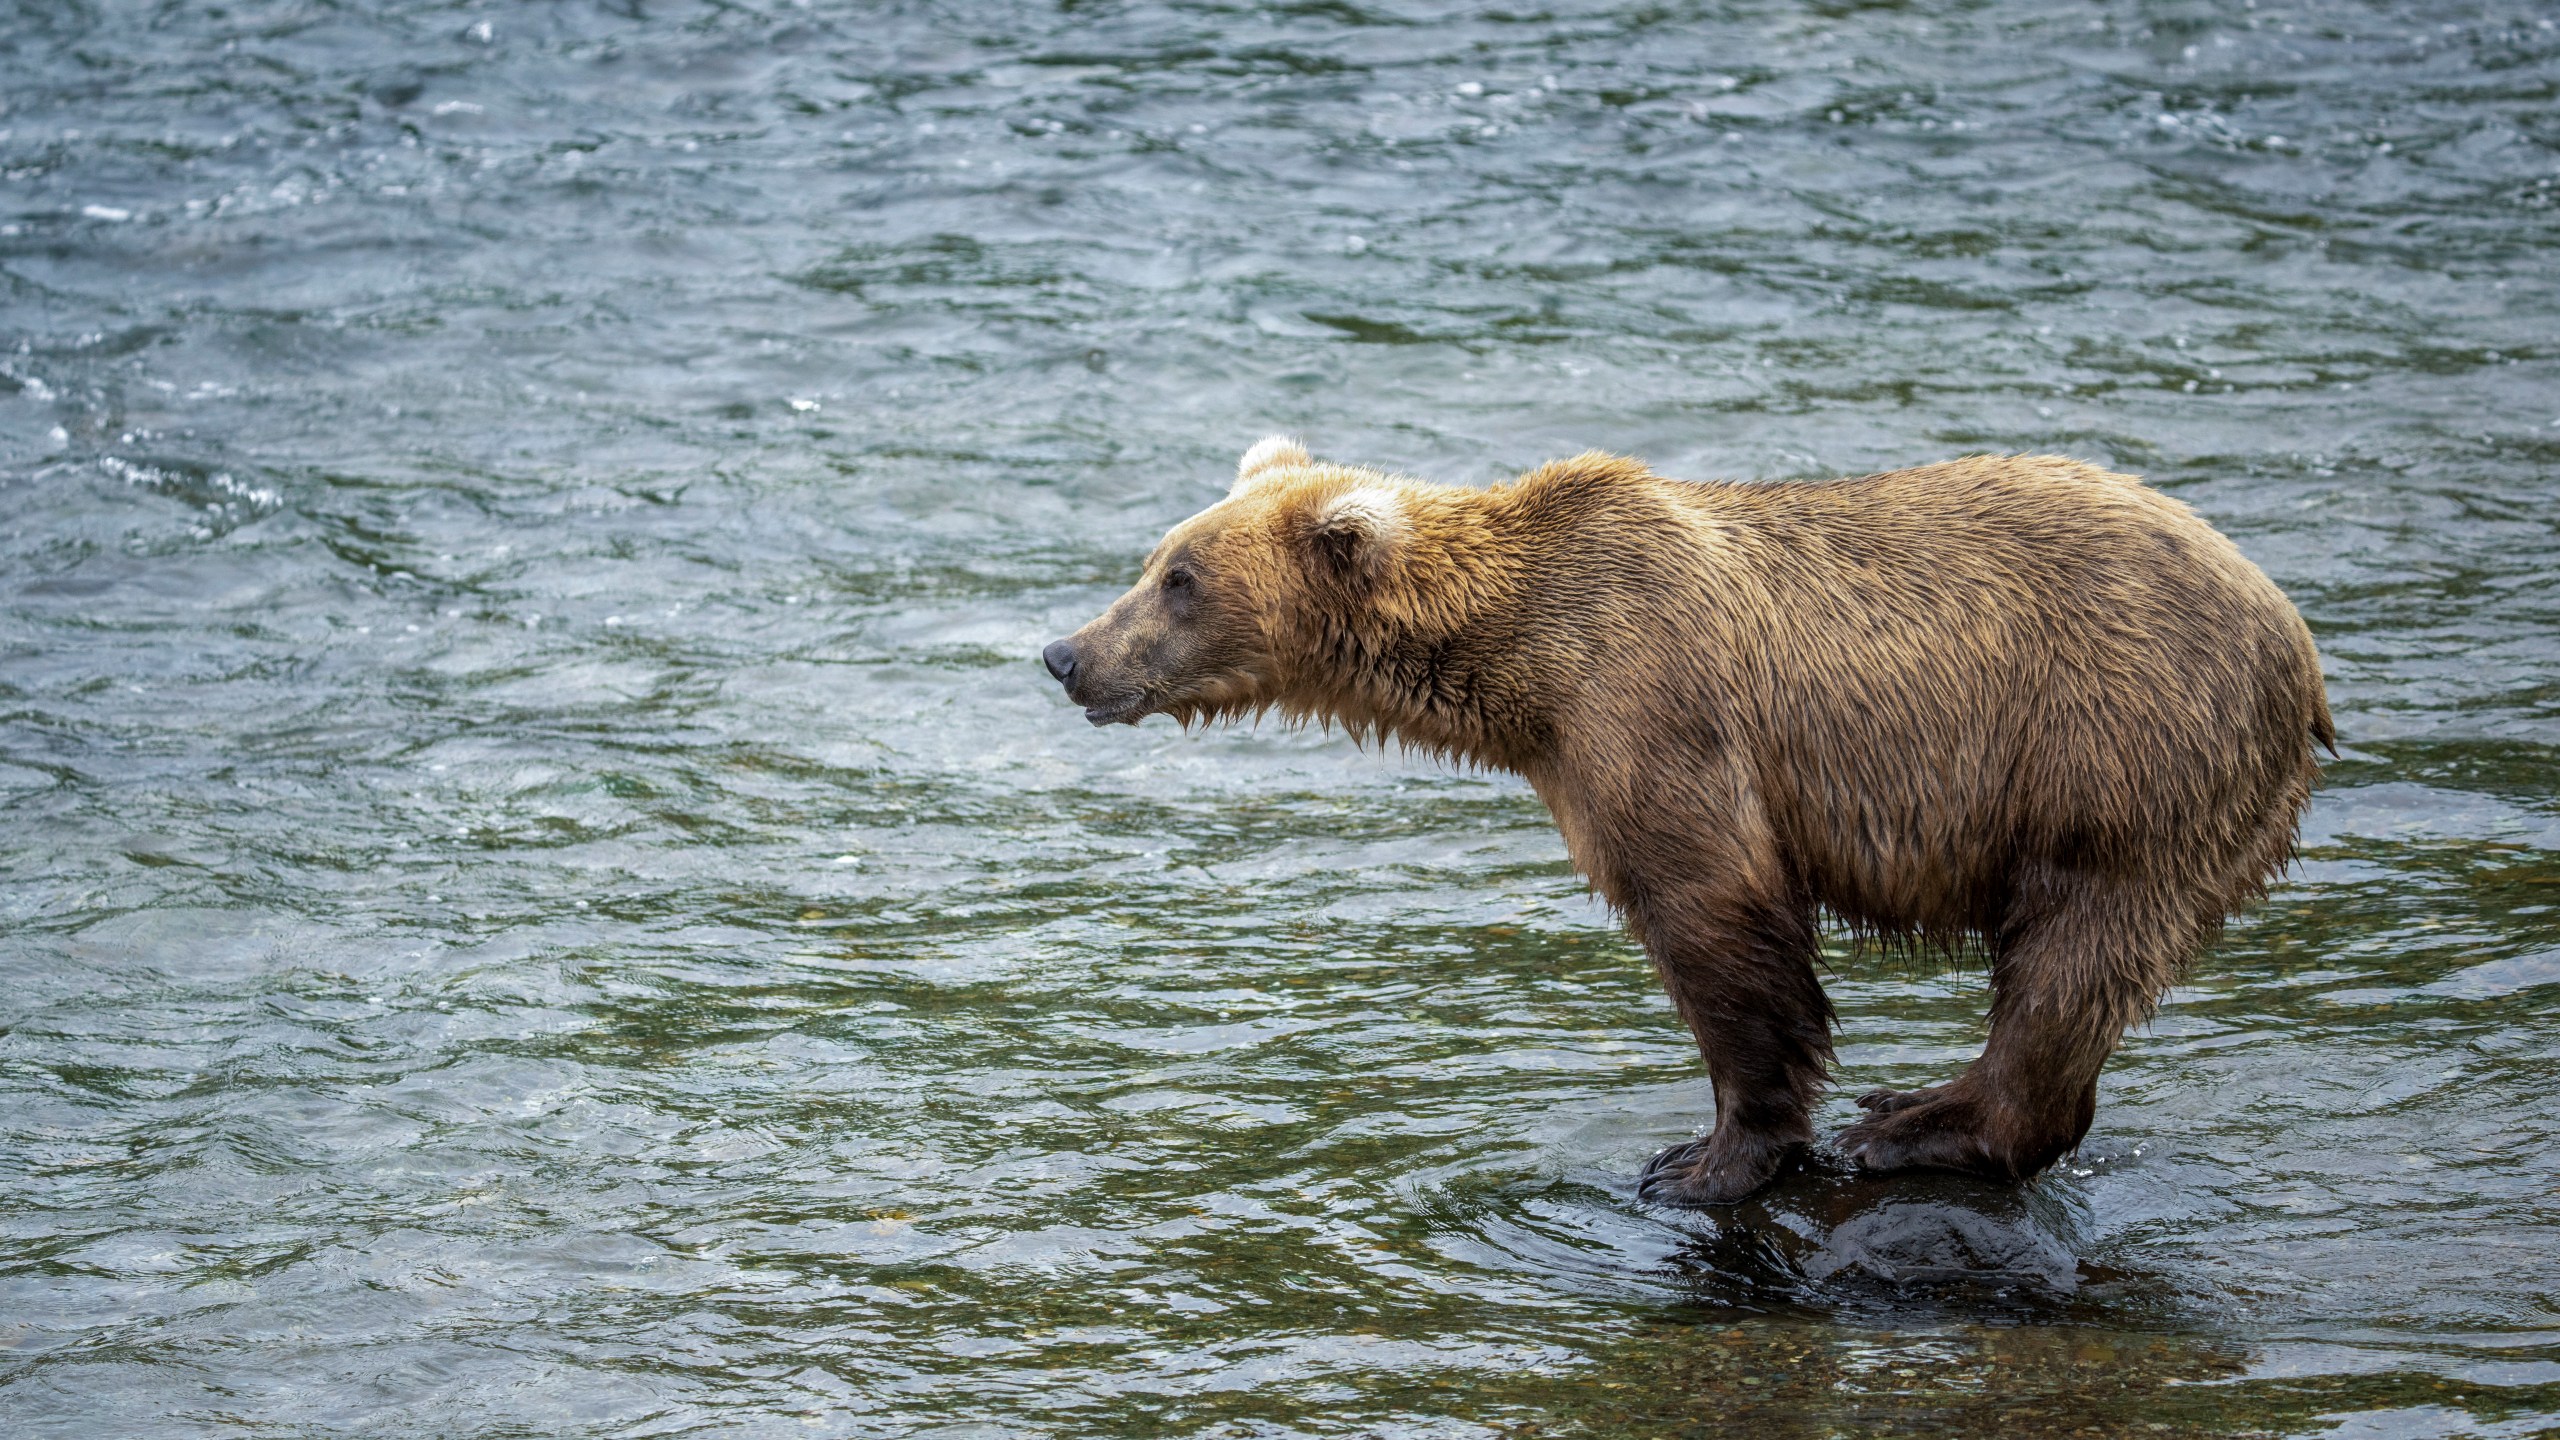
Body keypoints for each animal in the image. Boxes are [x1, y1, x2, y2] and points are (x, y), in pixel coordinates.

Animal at [1029, 435, 2334, 1199]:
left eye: (1178, 580)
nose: (1066, 654)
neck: (1523, 673)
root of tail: (2297, 640)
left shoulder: (1652, 708)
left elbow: (1718, 922)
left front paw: (1705, 1158)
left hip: (2112, 755)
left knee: (2070, 955)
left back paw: (1915, 1123)